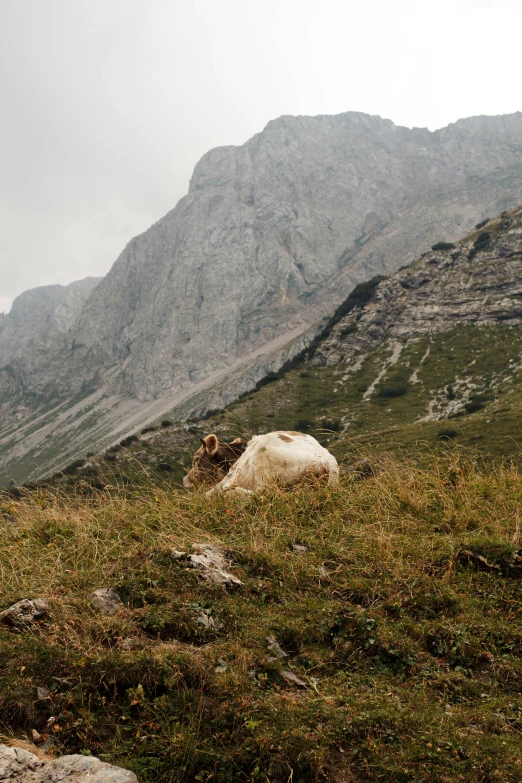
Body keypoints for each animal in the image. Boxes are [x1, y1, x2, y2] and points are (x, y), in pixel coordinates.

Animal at [181, 428, 340, 496]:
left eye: (196, 459)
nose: (185, 480)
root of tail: (326, 461)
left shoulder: (229, 477)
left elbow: (209, 494)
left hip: (262, 459)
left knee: (263, 493)